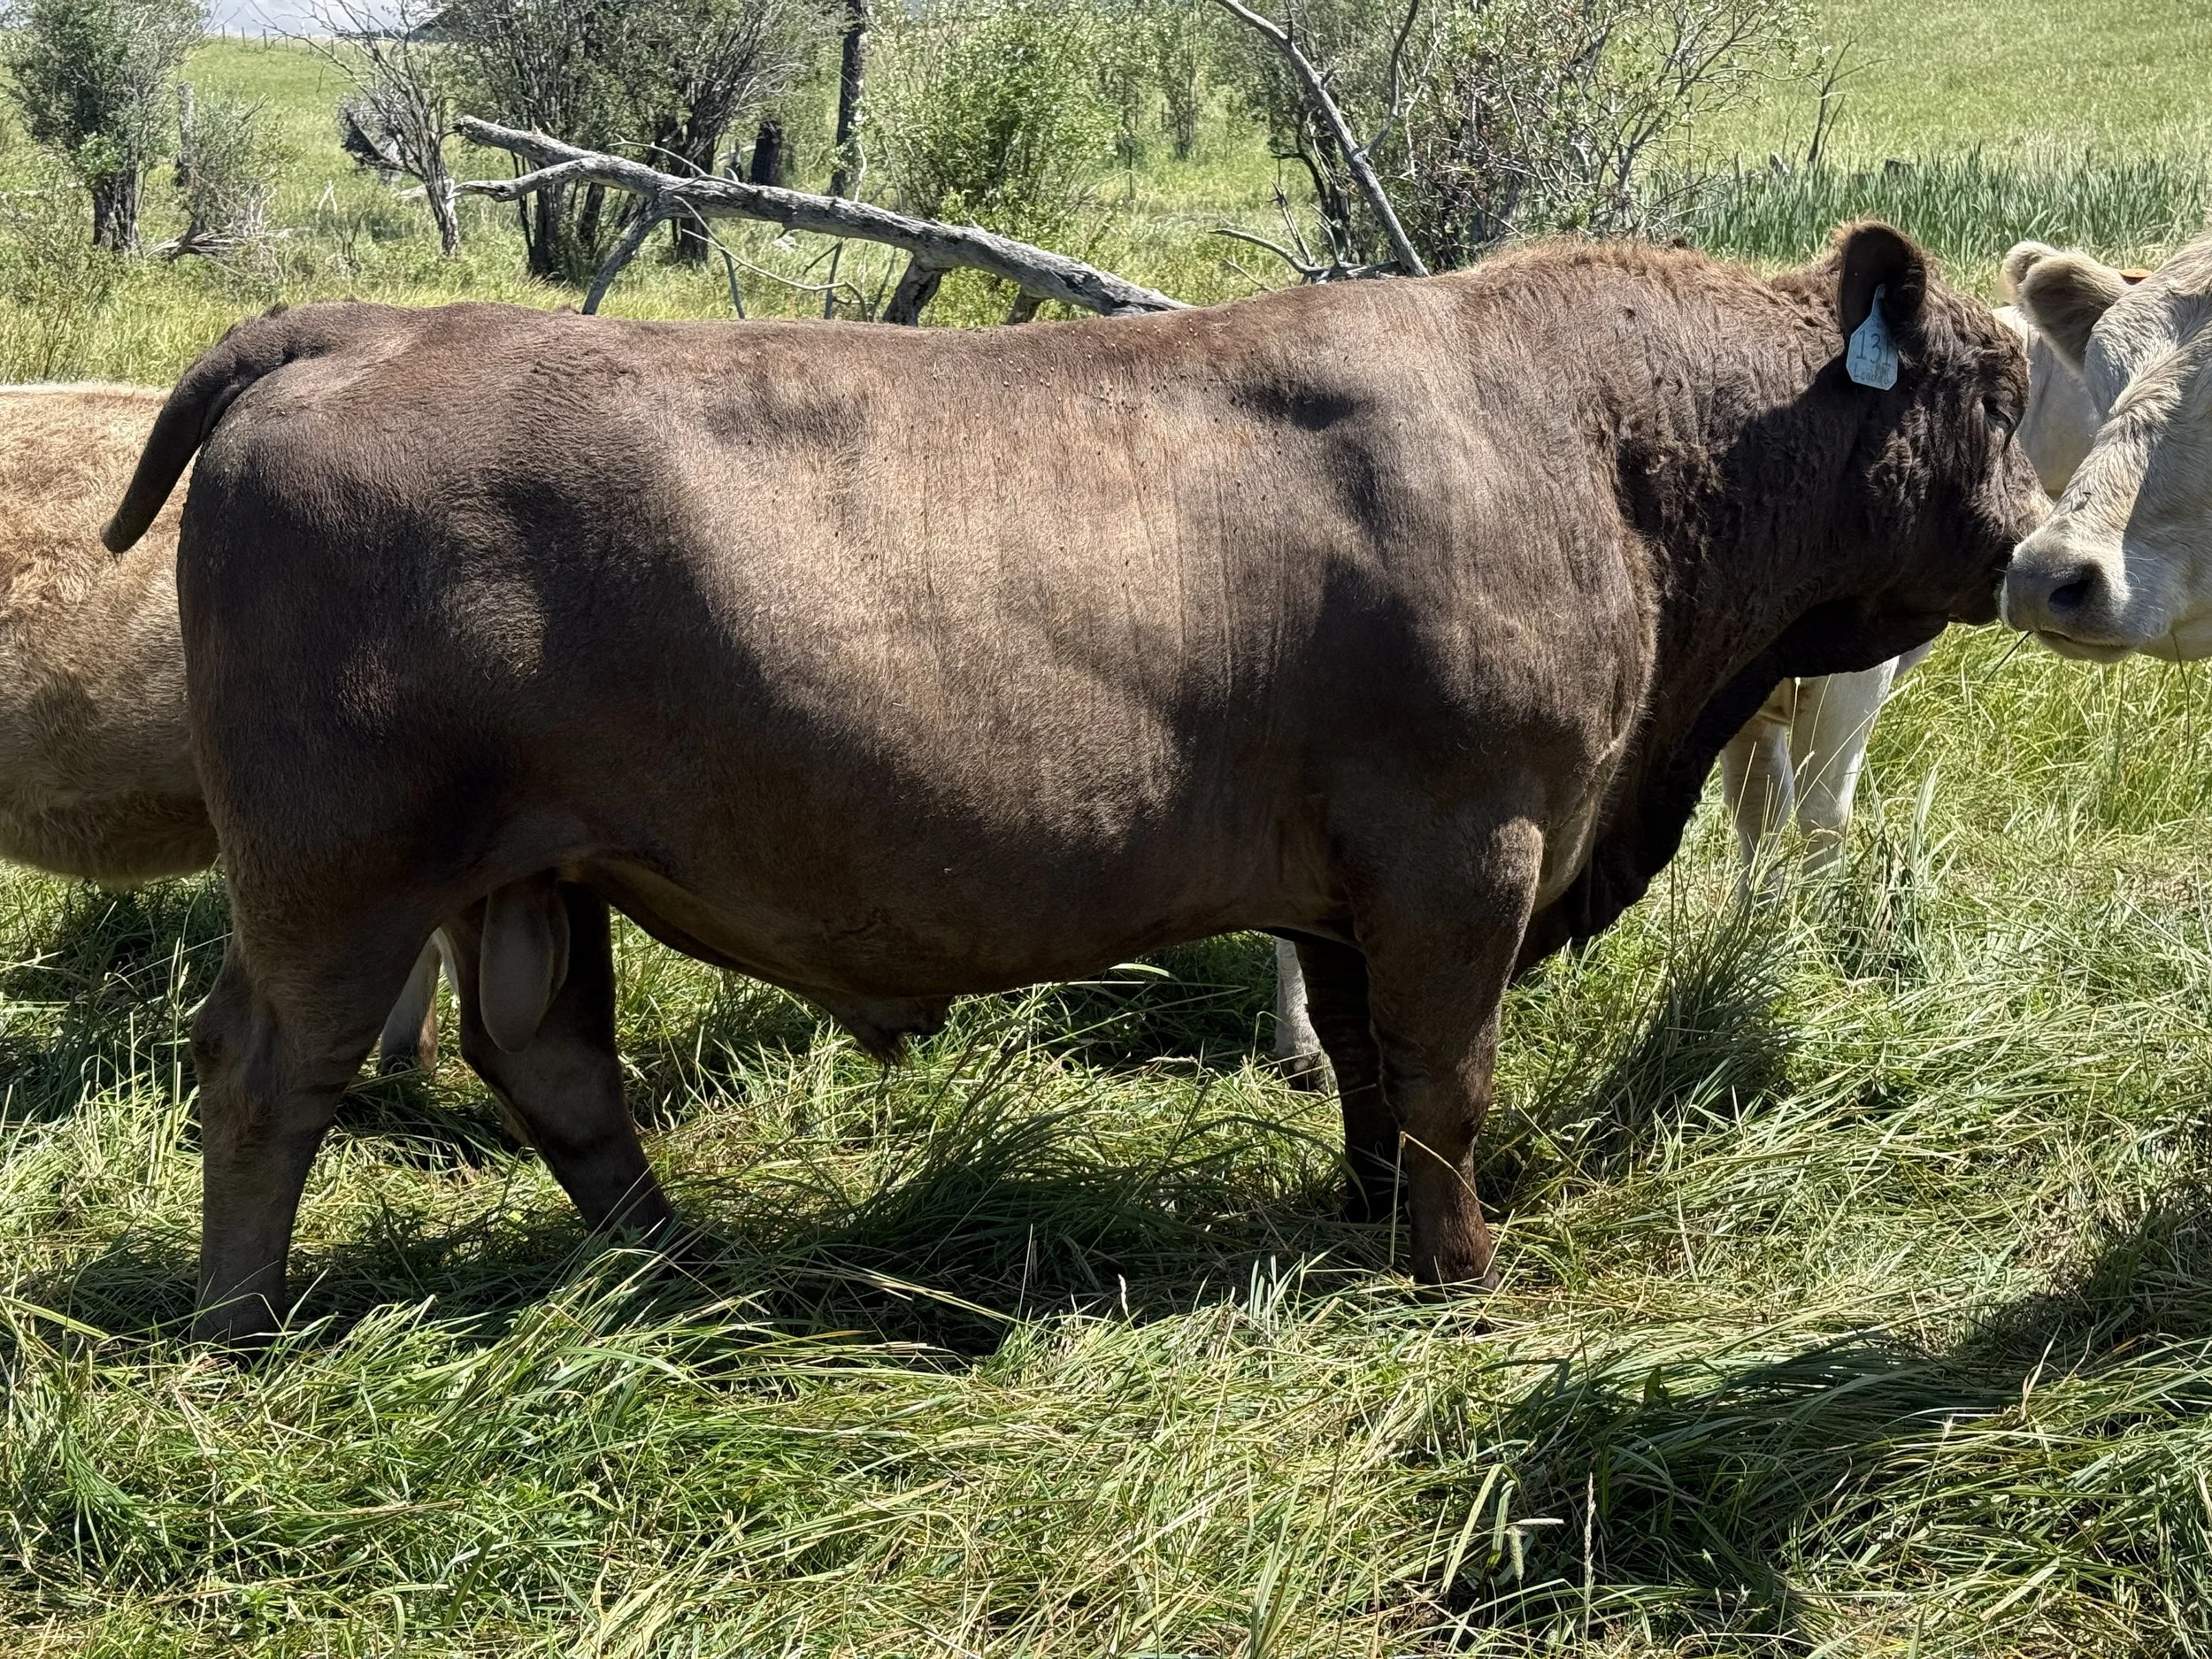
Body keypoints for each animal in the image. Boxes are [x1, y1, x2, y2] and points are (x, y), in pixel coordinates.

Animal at [102, 224, 2044, 1343]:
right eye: (1997, 381)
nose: (2050, 555)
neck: (1593, 432)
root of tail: (366, 328)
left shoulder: (1352, 881)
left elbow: (1363, 1062)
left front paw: (1361, 1218)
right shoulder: (1463, 849)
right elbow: (1444, 1077)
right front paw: (1462, 1272)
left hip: (524, 870)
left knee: (554, 1067)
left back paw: (688, 1277)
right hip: (344, 876)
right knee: (268, 1073)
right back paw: (243, 1328)